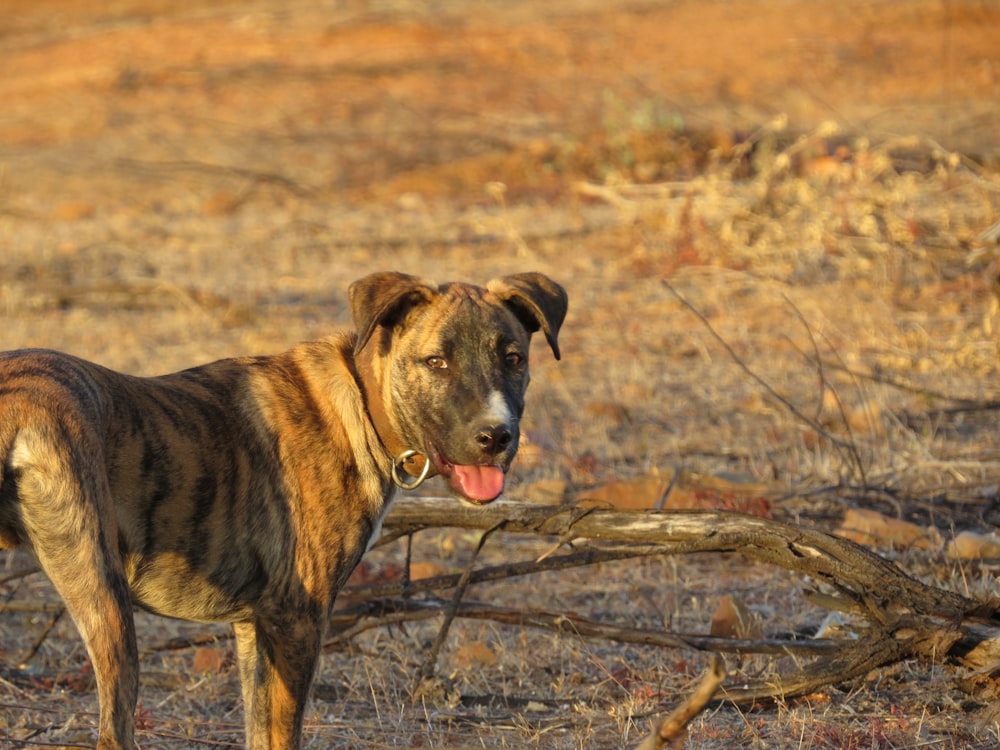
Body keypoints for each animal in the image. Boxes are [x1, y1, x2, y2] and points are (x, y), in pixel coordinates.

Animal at [0, 274, 568, 748]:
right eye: (436, 362)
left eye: (513, 359)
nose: (496, 437)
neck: (362, 402)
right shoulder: (297, 620)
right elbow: (282, 735)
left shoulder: (253, 626)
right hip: (106, 605)